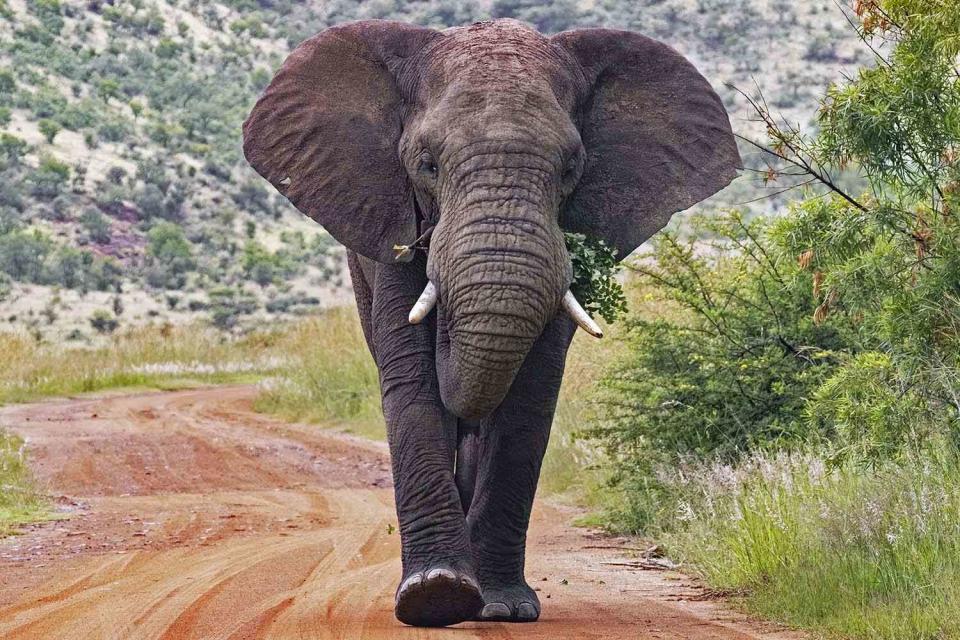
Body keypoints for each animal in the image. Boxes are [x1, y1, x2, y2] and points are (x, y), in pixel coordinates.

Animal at [244, 17, 740, 628]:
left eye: (571, 169)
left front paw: (502, 607)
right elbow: (412, 380)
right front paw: (435, 596)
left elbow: (529, 393)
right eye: (426, 164)